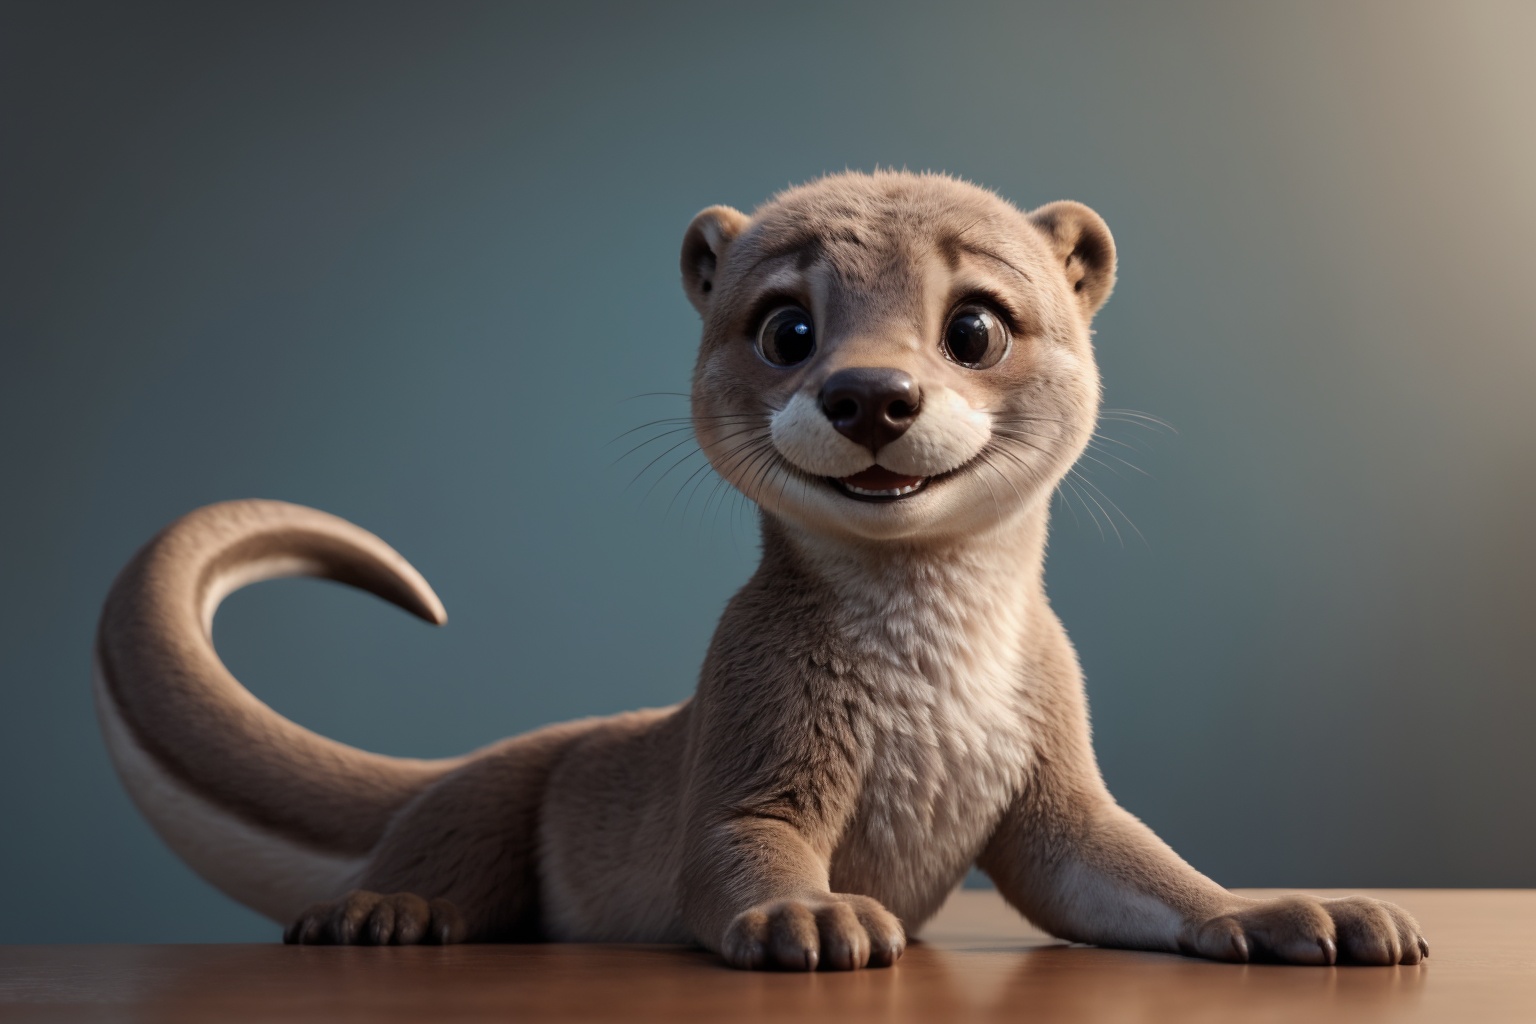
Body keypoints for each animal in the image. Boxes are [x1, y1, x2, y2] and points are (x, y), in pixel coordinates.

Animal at [94, 171, 1426, 969]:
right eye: (787, 326)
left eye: (975, 324)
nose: (871, 393)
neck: (935, 692)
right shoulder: (751, 728)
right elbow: (739, 850)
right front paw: (815, 912)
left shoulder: (1058, 784)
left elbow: (1139, 869)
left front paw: (1291, 909)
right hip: (485, 802)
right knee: (433, 857)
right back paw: (385, 912)